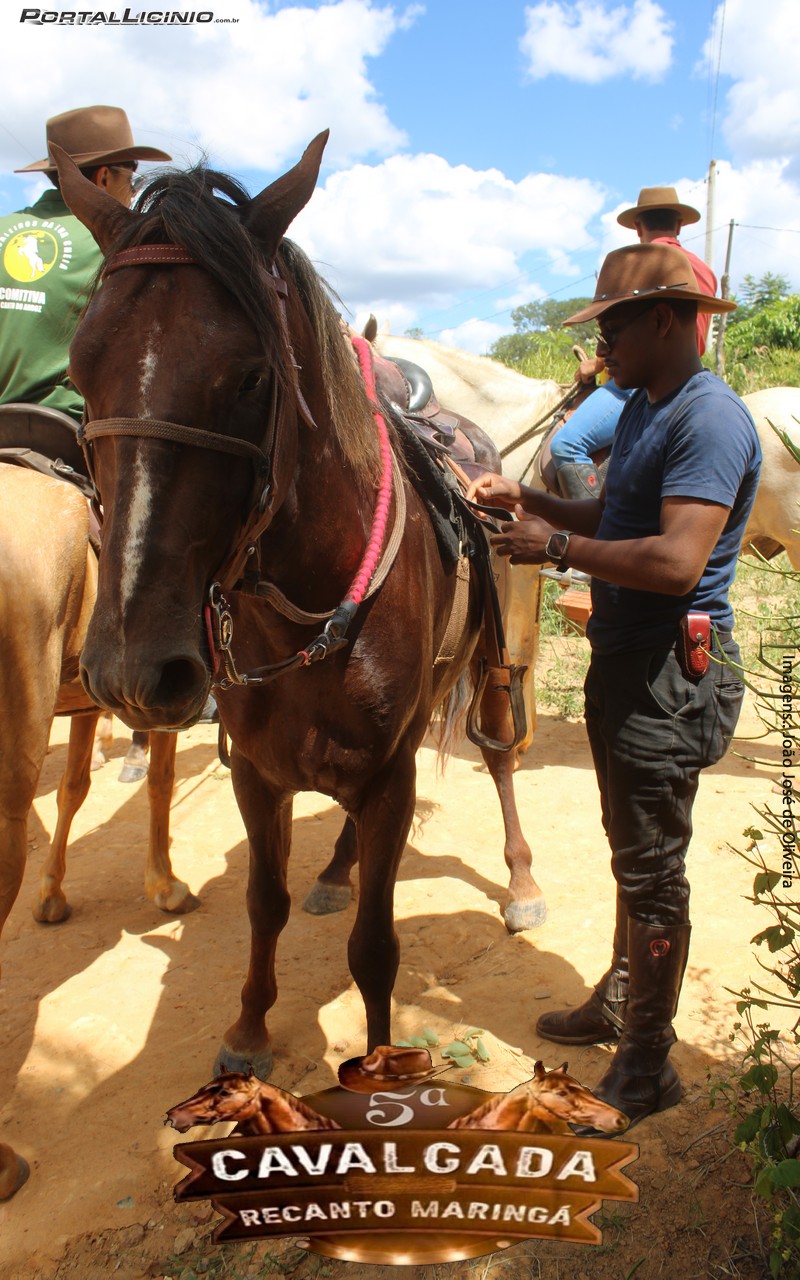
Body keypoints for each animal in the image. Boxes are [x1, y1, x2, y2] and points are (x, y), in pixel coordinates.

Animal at [52, 131, 545, 1082]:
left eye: (251, 377)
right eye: (81, 371)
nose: (131, 671)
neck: (306, 609)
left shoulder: (388, 779)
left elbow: (376, 950)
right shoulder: (259, 769)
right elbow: (264, 901)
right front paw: (250, 1031)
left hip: (495, 661)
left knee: (501, 755)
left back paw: (522, 881)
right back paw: (337, 871)